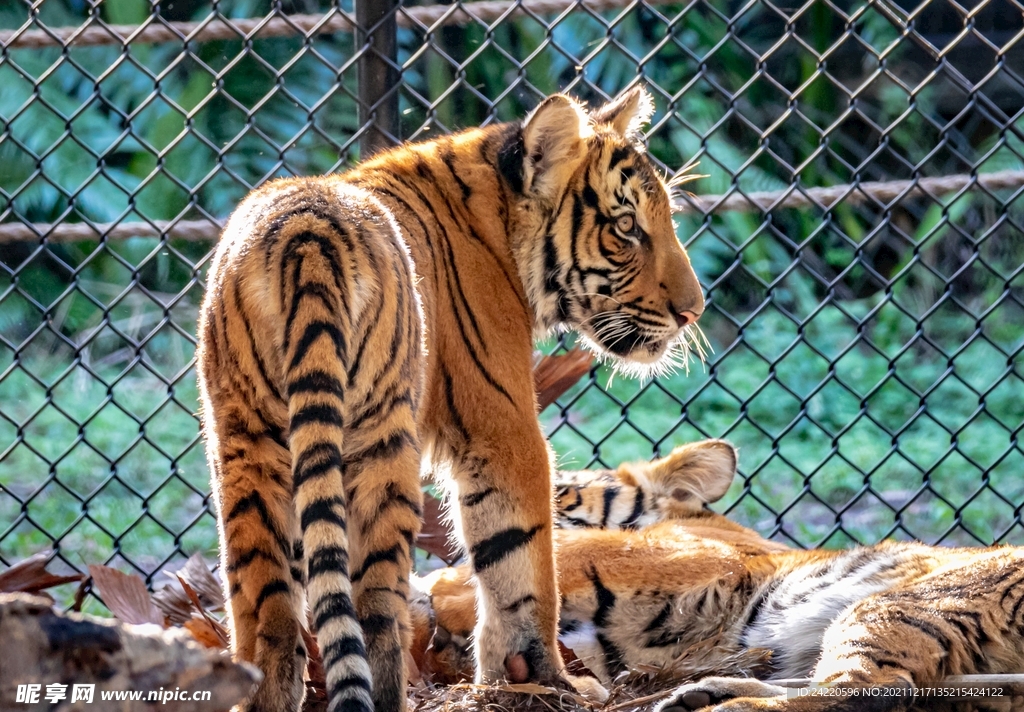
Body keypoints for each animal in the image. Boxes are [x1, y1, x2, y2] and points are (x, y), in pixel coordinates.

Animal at [195, 85, 706, 712]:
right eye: (627, 226)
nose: (693, 311)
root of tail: (305, 231)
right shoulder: (502, 425)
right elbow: (522, 562)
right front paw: (540, 678)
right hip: (382, 449)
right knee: (376, 611)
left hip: (245, 446)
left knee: (266, 611)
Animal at [410, 439, 1024, 712]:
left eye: (558, 490)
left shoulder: (676, 553)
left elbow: (548, 557)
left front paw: (439, 596)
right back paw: (701, 694)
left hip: (900, 602)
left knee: (869, 692)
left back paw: (729, 706)